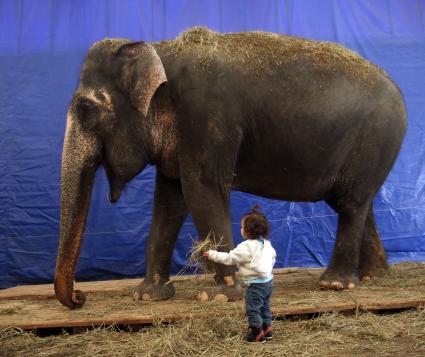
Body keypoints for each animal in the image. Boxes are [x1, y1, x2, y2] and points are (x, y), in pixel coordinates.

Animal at [54, 27, 406, 308]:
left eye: (86, 108)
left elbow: (202, 191)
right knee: (356, 202)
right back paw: (374, 276)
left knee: (350, 204)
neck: (160, 49)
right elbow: (169, 202)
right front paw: (146, 295)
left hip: (375, 137)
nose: (79, 297)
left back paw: (334, 284)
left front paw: (221, 296)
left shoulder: (206, 116)